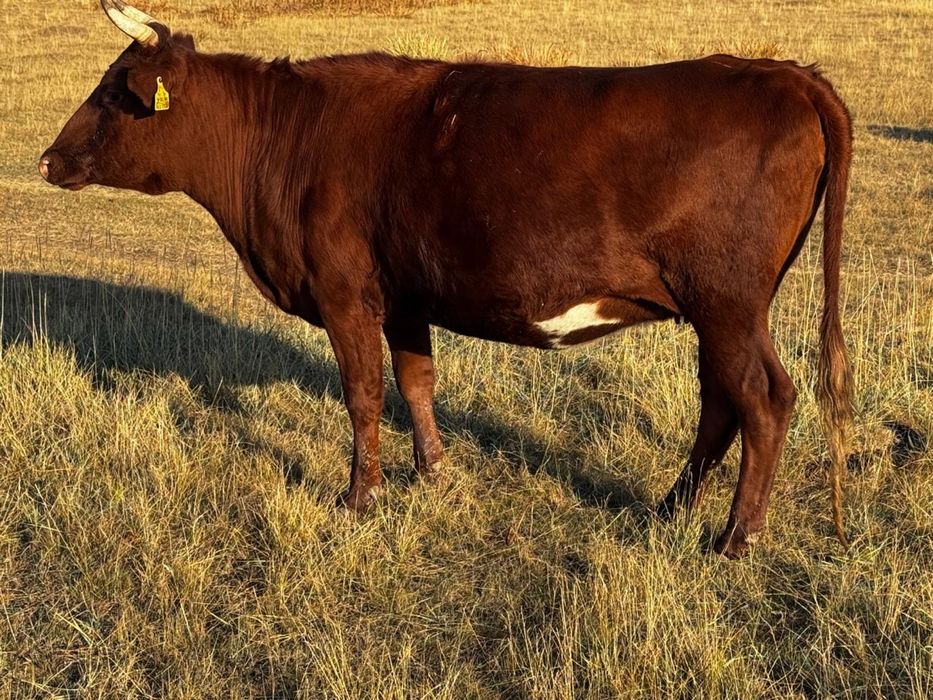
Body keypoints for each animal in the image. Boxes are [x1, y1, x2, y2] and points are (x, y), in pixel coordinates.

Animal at [39, 0, 854, 558]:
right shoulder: (403, 295)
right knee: (721, 401)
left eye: (115, 91)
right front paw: (432, 472)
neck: (285, 136)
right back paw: (670, 508)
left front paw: (358, 498)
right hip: (718, 308)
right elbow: (416, 382)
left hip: (726, 301)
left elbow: (363, 393)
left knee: (761, 399)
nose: (47, 159)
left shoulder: (343, 292)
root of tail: (782, 73)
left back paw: (735, 537)